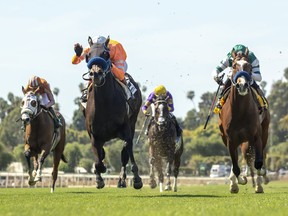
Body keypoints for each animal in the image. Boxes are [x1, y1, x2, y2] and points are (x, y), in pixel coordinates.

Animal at [83, 35, 143, 189]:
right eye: (88, 55)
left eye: (106, 54)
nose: (96, 74)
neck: (105, 103)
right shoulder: (93, 134)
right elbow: (98, 158)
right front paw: (99, 176)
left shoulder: (126, 128)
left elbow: (127, 148)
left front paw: (136, 179)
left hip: (133, 121)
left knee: (125, 151)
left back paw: (124, 179)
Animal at [218, 54, 270, 193]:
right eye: (234, 65)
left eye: (249, 66)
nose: (242, 85)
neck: (240, 111)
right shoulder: (230, 139)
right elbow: (235, 167)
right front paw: (238, 181)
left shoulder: (256, 136)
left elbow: (258, 162)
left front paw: (260, 178)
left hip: (264, 132)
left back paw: (259, 184)